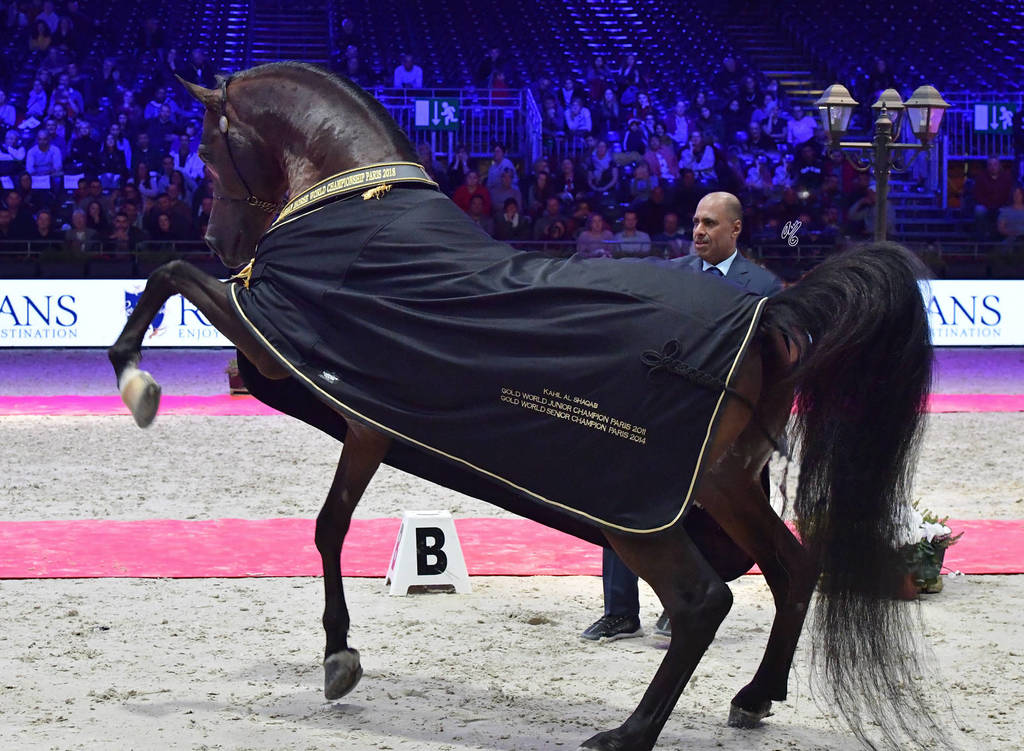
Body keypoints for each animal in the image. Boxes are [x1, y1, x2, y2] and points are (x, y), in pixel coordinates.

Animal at [108, 62, 944, 751]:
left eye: (208, 149)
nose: (221, 237)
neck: (354, 200)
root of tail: (770, 313)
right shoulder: (363, 423)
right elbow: (330, 525)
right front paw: (339, 658)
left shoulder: (278, 349)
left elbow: (169, 274)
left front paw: (136, 383)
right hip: (723, 483)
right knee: (792, 565)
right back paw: (754, 695)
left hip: (637, 508)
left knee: (704, 598)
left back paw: (629, 733)